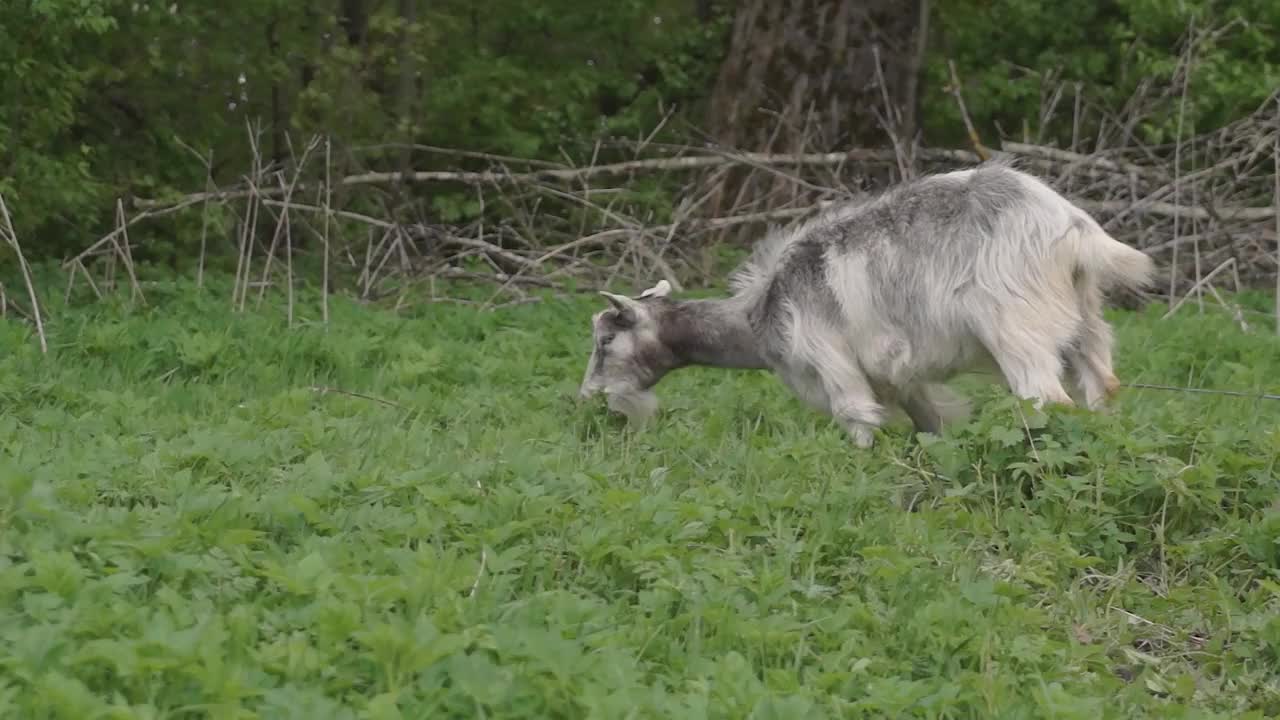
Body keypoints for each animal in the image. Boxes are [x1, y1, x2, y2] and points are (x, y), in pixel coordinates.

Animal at [576, 160, 1157, 445]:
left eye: (605, 339)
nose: (587, 397)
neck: (759, 315)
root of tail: (1072, 227)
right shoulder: (901, 380)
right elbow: (931, 424)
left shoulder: (830, 361)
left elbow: (857, 421)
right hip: (1084, 321)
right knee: (1100, 387)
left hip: (1016, 328)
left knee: (1046, 399)